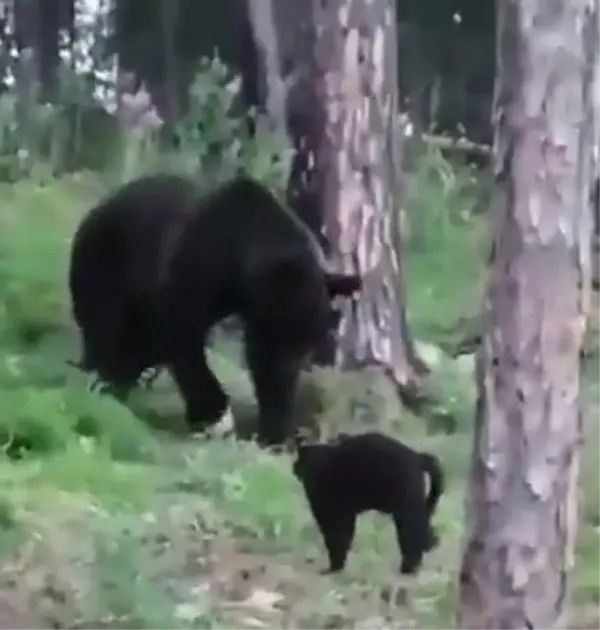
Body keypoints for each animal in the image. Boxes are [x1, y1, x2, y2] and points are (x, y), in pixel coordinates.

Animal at [70, 175, 360, 446]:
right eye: (284, 333)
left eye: (311, 339)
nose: (289, 368)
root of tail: (99, 207)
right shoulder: (198, 266)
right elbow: (181, 332)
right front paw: (214, 415)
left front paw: (276, 432)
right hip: (106, 260)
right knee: (106, 325)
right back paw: (104, 378)